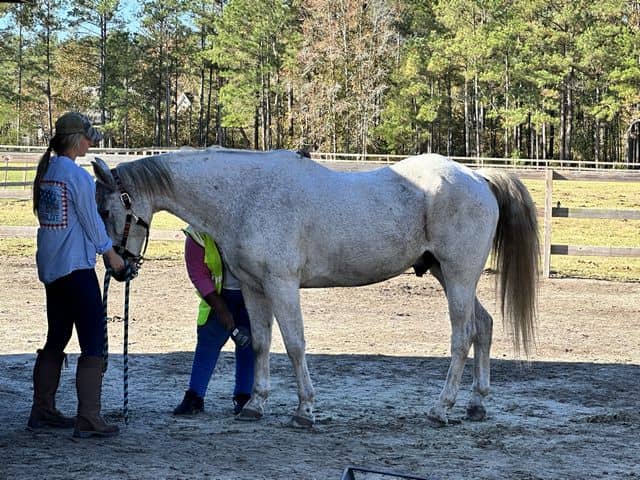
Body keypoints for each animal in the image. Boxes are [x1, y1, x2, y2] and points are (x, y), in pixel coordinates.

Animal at [92, 149, 536, 428]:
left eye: (109, 209)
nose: (119, 269)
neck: (248, 197)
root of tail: (478, 177)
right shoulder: (254, 288)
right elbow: (260, 344)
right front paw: (256, 404)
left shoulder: (282, 285)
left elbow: (294, 344)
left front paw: (304, 411)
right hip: (448, 274)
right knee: (484, 326)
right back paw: (476, 404)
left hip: (459, 276)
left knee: (463, 336)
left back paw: (440, 409)